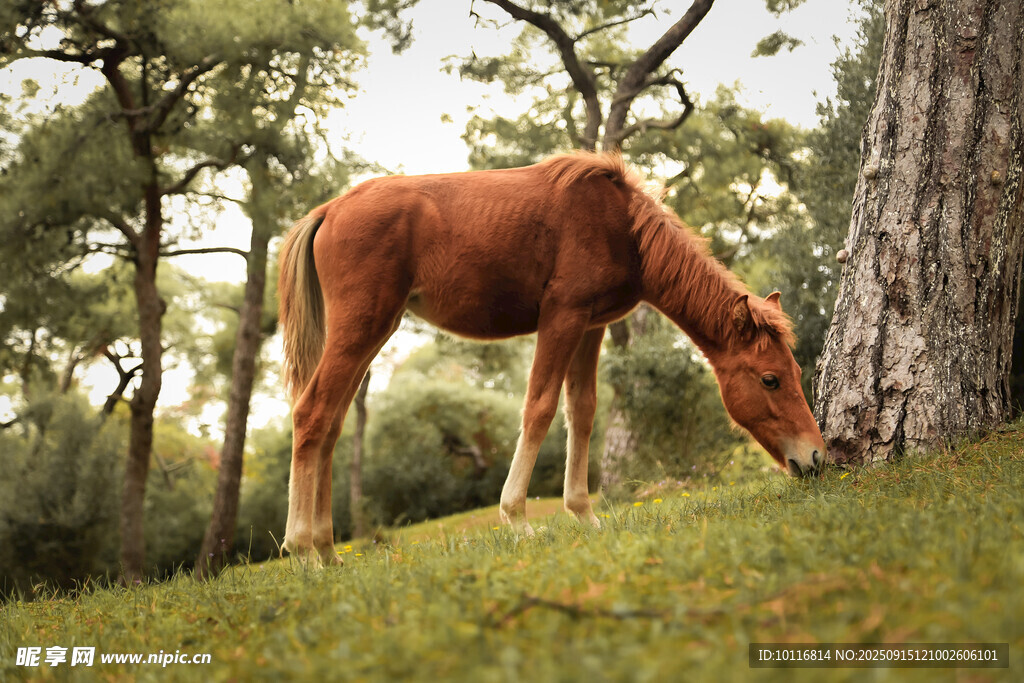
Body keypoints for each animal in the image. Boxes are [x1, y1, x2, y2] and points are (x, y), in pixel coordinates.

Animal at [277, 152, 826, 565]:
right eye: (771, 380)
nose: (816, 458)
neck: (621, 225)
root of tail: (330, 210)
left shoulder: (590, 326)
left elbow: (581, 413)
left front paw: (584, 514)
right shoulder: (562, 318)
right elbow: (539, 408)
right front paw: (517, 520)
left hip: (370, 334)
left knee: (330, 425)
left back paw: (327, 550)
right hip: (361, 330)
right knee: (311, 415)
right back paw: (303, 550)